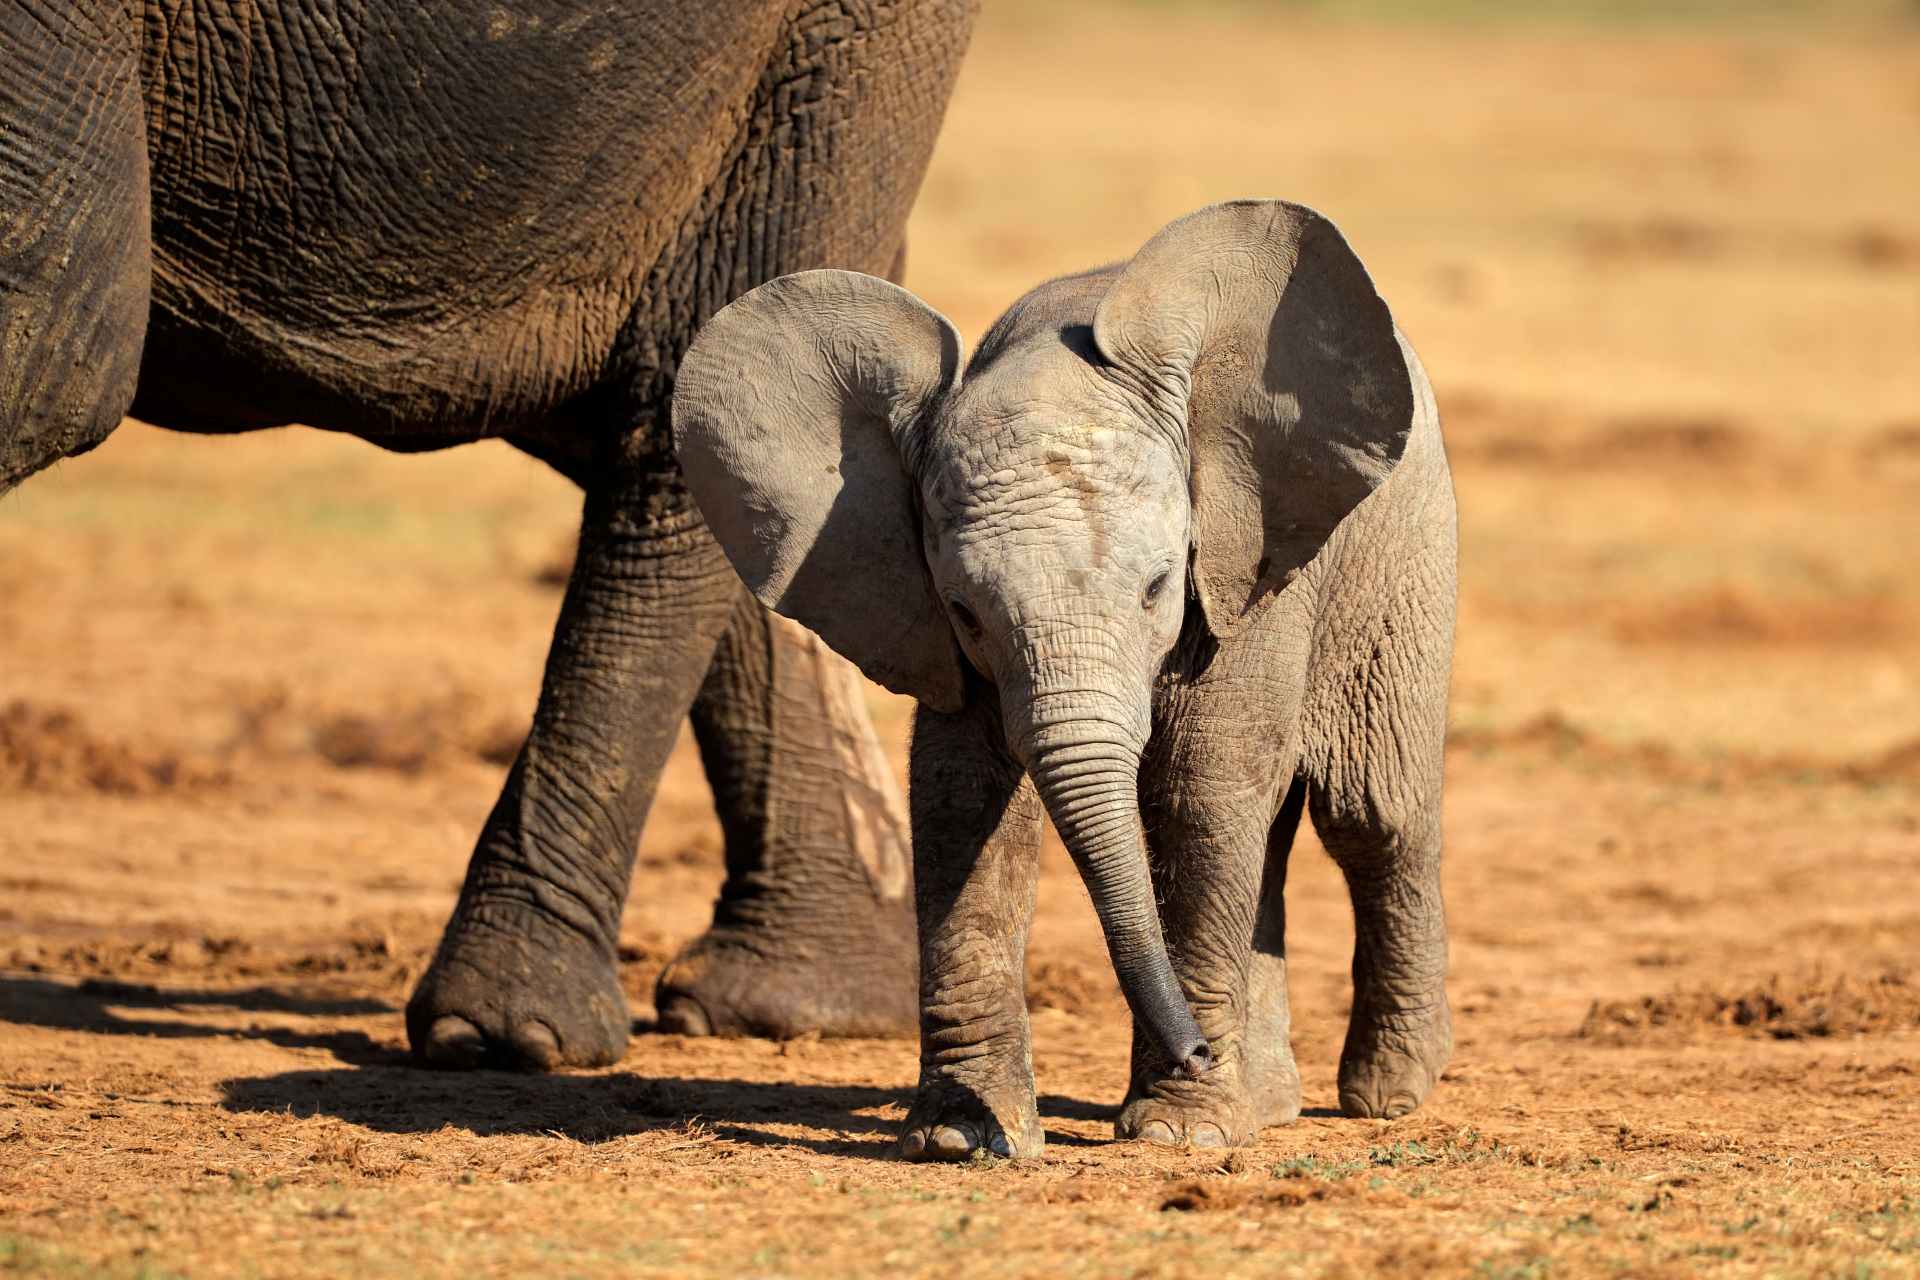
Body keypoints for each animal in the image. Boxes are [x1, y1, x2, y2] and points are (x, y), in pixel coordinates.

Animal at [674, 199, 1456, 1156]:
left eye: (1158, 587)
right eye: (967, 611)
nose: (1198, 1050)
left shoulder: (1240, 565)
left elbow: (1200, 785)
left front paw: (1179, 1136)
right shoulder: (937, 631)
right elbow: (963, 799)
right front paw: (962, 1137)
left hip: (1407, 548)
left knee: (1369, 813)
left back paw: (1389, 1093)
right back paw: (1269, 1103)